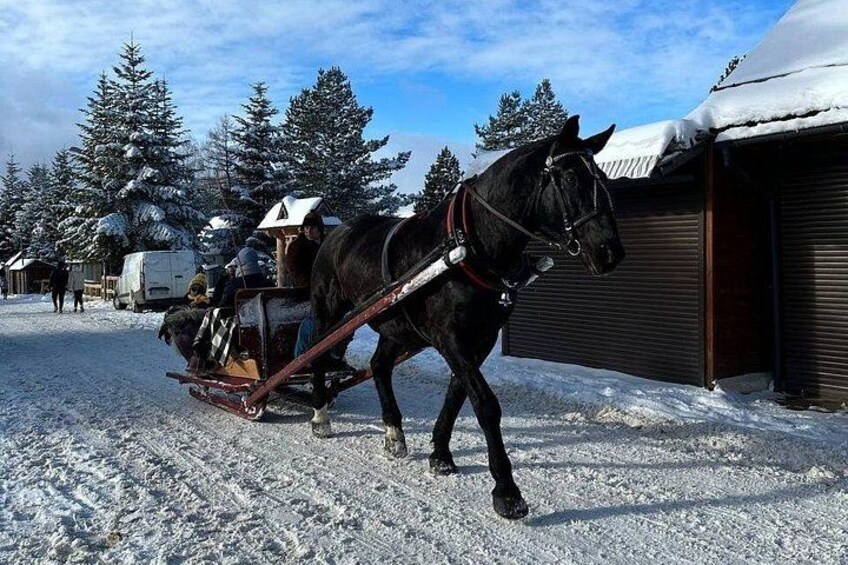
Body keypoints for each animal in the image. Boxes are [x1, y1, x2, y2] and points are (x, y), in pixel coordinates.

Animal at [309, 116, 624, 519]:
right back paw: (320, 415)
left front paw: (441, 455)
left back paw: (394, 432)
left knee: (379, 366)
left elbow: (458, 393)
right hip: (329, 311)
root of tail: (336, 233)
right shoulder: (450, 337)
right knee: (317, 354)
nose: (610, 252)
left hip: (396, 327)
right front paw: (507, 491)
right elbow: (485, 404)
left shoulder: (482, 338)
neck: (472, 244)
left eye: (602, 176)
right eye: (569, 178)